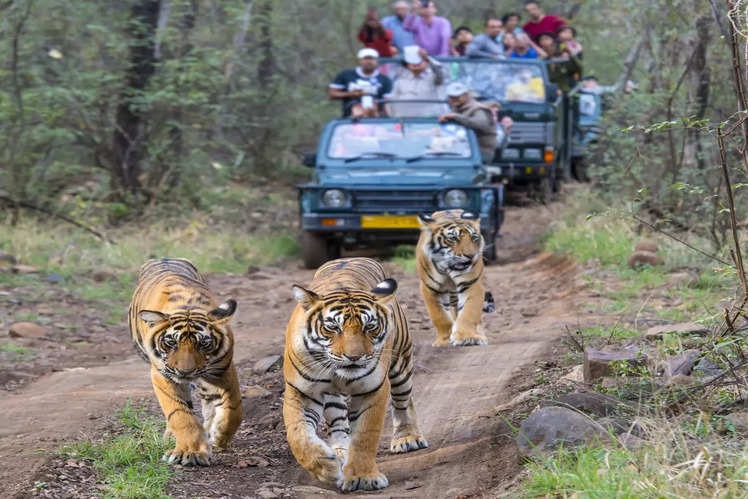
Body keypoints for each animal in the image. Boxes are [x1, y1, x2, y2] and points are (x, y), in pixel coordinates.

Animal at [128, 258, 241, 466]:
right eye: (171, 342)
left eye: (203, 344)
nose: (185, 372)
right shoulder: (162, 374)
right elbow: (179, 413)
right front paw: (190, 451)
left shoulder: (223, 369)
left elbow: (234, 407)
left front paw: (220, 436)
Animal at [283, 257, 428, 492]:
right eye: (333, 328)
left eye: (370, 327)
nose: (354, 357)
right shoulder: (301, 391)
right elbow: (298, 435)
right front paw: (325, 467)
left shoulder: (373, 389)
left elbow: (365, 436)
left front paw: (363, 477)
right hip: (333, 396)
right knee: (339, 423)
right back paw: (340, 453)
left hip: (401, 362)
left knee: (403, 401)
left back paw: (408, 438)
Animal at [417, 209, 488, 347]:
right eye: (453, 238)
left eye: (474, 238)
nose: (471, 256)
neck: (447, 267)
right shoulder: (429, 289)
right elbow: (439, 316)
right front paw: (444, 341)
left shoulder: (471, 284)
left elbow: (469, 312)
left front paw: (467, 337)